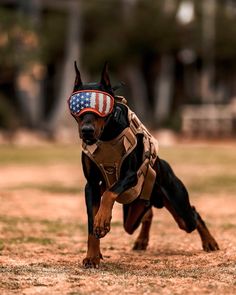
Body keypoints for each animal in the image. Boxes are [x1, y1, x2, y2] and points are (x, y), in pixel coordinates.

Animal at [67, 63, 218, 270]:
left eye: (102, 106)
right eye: (76, 107)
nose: (87, 131)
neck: (107, 134)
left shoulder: (131, 175)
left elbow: (109, 193)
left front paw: (102, 221)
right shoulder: (91, 185)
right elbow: (91, 222)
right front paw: (92, 256)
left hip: (178, 205)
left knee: (193, 214)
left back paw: (209, 242)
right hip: (133, 212)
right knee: (148, 213)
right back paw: (141, 240)